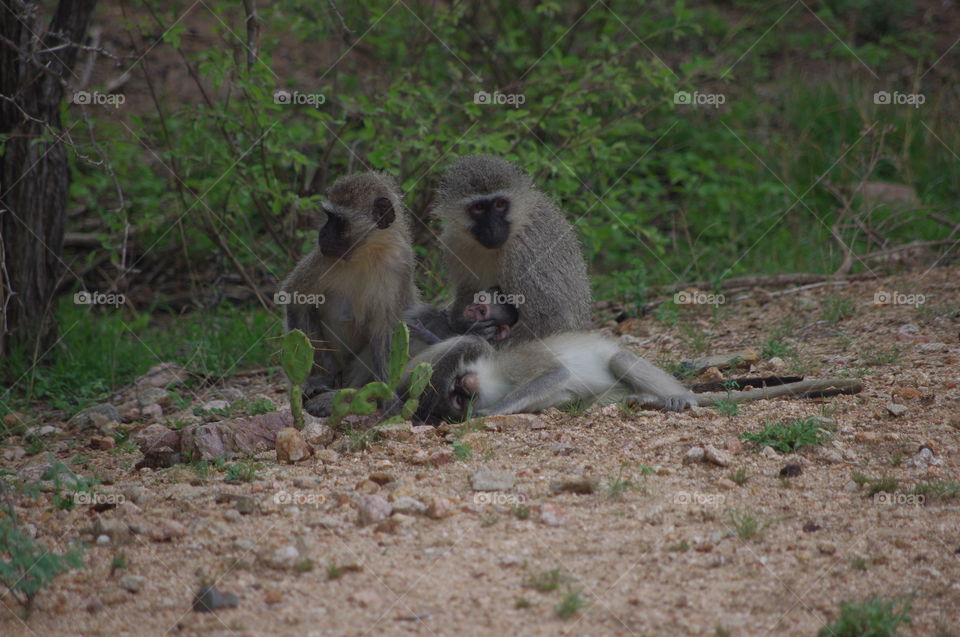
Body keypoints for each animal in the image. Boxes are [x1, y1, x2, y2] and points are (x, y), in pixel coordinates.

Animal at [276, 171, 414, 414]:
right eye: (328, 216)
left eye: (338, 221)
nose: (322, 234)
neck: (368, 252)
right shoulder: (323, 258)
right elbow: (296, 298)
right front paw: (315, 379)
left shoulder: (400, 266)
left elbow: (385, 327)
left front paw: (387, 393)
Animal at [404, 332, 696, 422]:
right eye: (459, 397)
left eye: (458, 389)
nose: (464, 389)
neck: (495, 379)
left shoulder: (515, 363)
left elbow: (558, 373)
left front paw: (490, 412)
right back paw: (644, 399)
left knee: (619, 358)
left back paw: (682, 396)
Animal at [436, 155, 592, 342]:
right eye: (479, 207)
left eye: (500, 204)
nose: (493, 228)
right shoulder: (454, 241)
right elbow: (468, 292)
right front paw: (463, 323)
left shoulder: (524, 255)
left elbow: (554, 320)